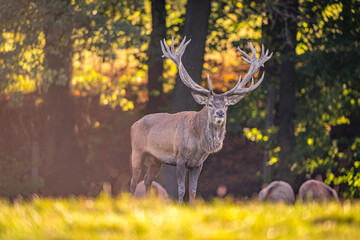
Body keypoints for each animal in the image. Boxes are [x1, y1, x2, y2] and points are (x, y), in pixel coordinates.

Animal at [130, 36, 272, 203]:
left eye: (226, 105)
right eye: (210, 104)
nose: (220, 113)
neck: (198, 145)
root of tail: (133, 125)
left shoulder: (198, 164)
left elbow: (193, 190)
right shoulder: (180, 158)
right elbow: (181, 189)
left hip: (156, 160)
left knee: (147, 180)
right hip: (137, 152)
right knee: (133, 182)